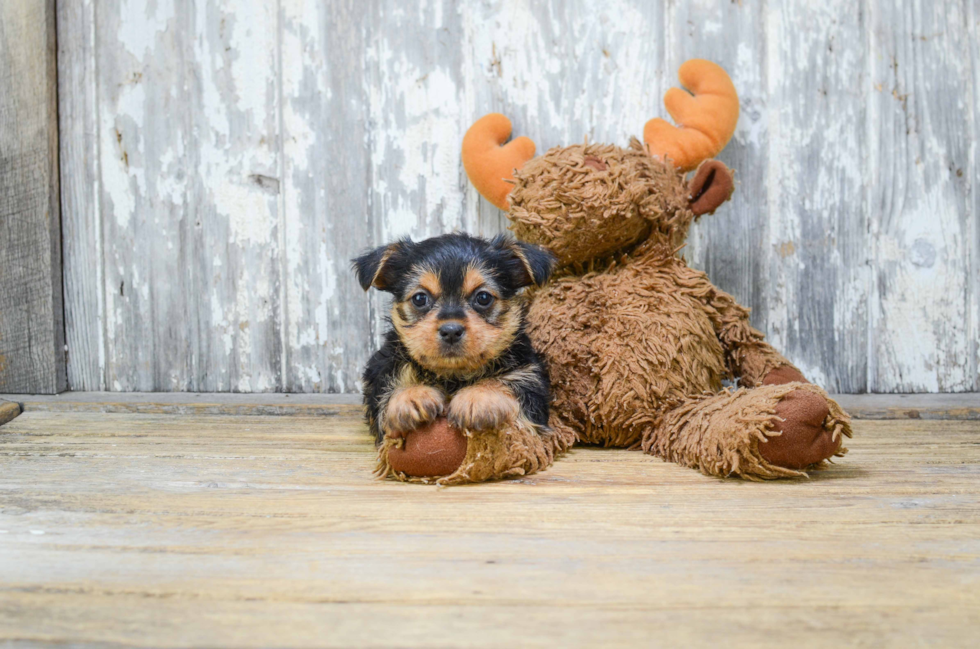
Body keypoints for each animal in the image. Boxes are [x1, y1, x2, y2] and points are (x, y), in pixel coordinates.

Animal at [352, 233, 556, 476]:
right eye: (420, 299)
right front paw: (411, 396)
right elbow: (386, 391)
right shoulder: (379, 372)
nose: (451, 330)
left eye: (483, 297)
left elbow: (509, 383)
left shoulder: (531, 377)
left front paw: (478, 397)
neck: (453, 375)